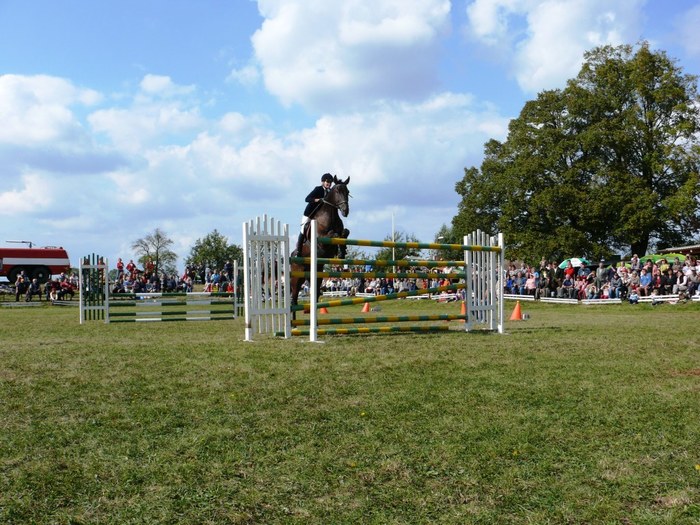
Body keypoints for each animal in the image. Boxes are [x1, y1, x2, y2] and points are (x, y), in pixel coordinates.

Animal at [290, 175, 350, 313]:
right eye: (337, 191)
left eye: (347, 192)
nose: (345, 211)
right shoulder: (321, 242)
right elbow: (334, 234)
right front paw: (340, 252)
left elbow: (344, 232)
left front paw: (342, 252)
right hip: (297, 278)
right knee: (293, 298)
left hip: (315, 274)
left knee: (315, 293)